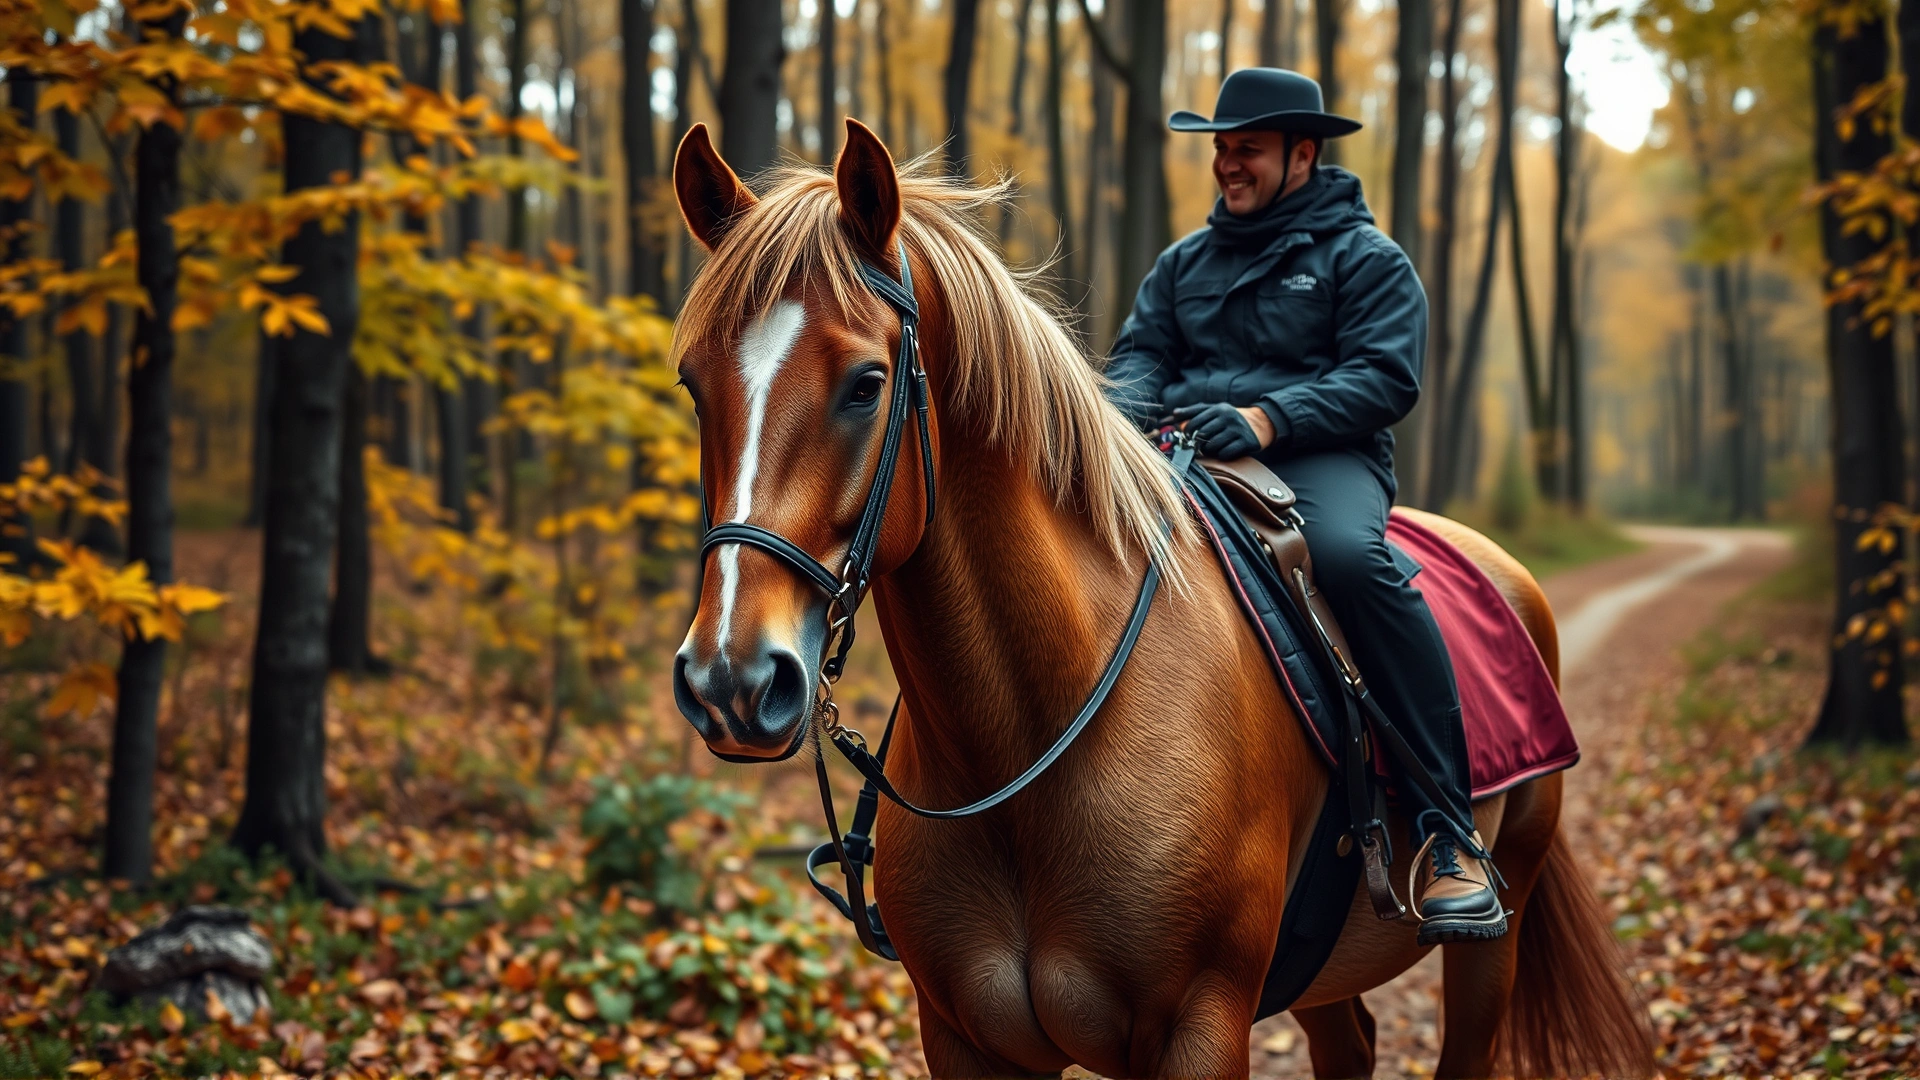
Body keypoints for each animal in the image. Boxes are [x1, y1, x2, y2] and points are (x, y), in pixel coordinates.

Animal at [668, 117, 1653, 1078]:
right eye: (693, 385)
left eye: (866, 385)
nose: (730, 680)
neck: (1032, 740)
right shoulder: (962, 1038)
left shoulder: (1199, 1026)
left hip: (1496, 930)